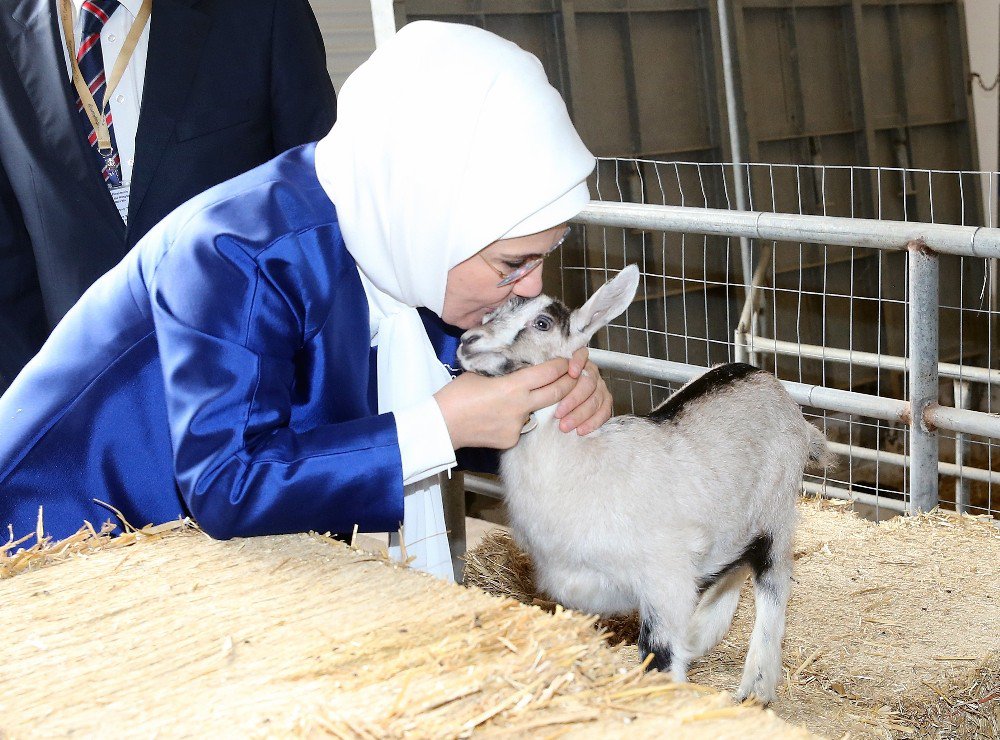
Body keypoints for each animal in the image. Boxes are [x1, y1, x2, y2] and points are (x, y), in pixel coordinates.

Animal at [458, 264, 832, 704]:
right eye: (490, 312)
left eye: (542, 323)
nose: (466, 342)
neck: (584, 462)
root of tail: (765, 380)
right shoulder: (579, 592)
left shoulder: (663, 580)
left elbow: (659, 656)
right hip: (733, 522)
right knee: (733, 566)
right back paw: (702, 635)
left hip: (775, 510)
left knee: (772, 582)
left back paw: (755, 688)